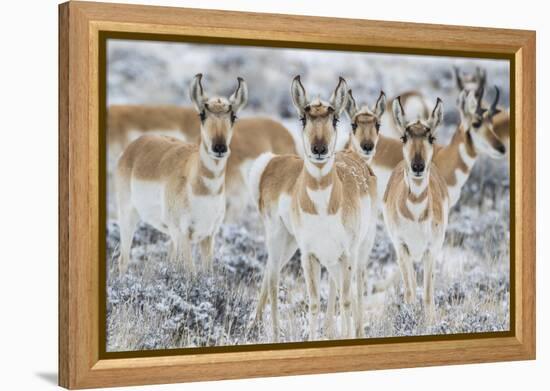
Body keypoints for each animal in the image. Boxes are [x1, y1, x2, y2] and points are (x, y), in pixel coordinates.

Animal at [115, 74, 249, 276]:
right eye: (202, 114)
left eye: (233, 116)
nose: (219, 147)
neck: (204, 190)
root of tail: (136, 145)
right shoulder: (183, 234)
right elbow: (191, 273)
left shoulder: (208, 236)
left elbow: (207, 273)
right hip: (128, 216)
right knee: (123, 260)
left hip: (170, 236)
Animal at [250, 76, 380, 340]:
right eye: (303, 118)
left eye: (335, 118)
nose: (319, 149)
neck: (323, 207)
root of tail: (271, 162)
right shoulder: (309, 255)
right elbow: (313, 302)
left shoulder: (344, 254)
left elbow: (346, 300)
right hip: (281, 239)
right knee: (272, 278)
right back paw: (272, 334)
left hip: (356, 249)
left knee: (357, 287)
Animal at [384, 95, 452, 318]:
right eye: (404, 137)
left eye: (431, 138)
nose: (418, 166)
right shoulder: (402, 246)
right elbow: (410, 291)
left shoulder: (431, 249)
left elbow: (428, 295)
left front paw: (430, 321)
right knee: (411, 285)